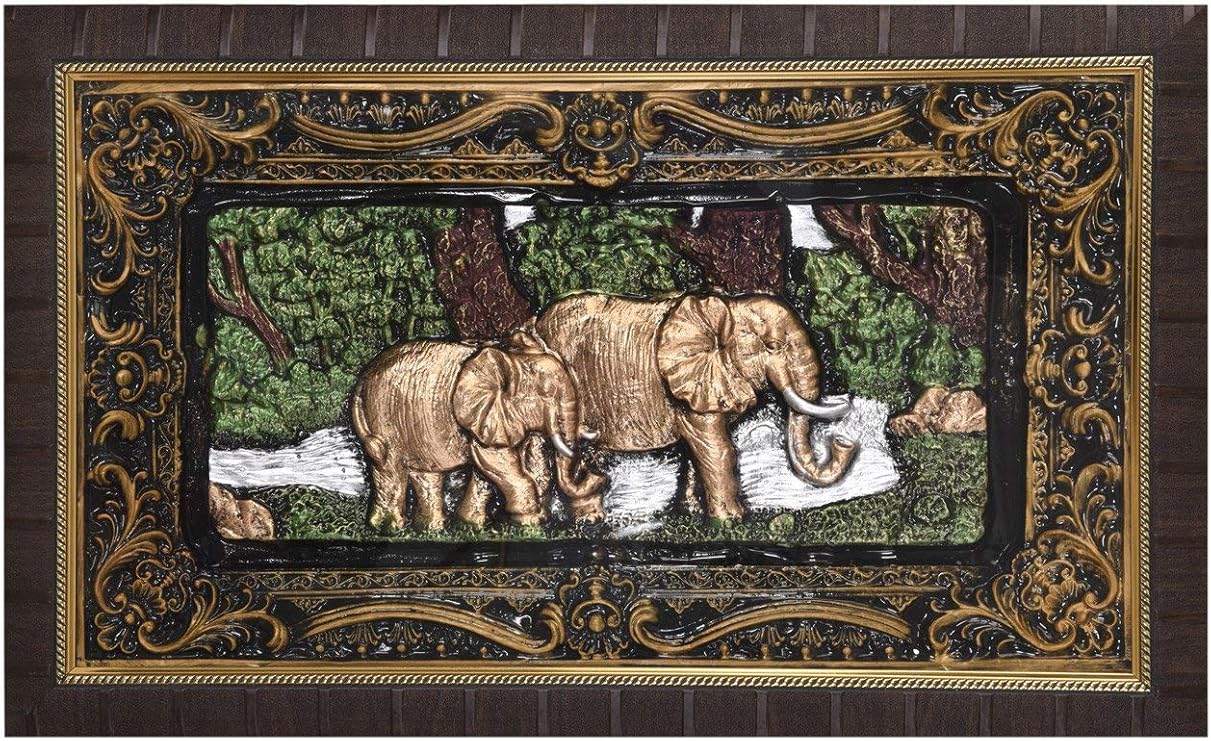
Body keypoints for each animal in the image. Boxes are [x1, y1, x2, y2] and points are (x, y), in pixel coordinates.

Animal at [350, 326, 607, 532]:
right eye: (546, 392)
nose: (598, 474)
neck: (509, 357)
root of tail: (362, 379)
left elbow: (515, 465)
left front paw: (474, 524)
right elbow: (497, 461)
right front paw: (529, 524)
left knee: (425, 473)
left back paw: (433, 528)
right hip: (382, 417)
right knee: (390, 468)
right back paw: (391, 528)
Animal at [528, 292, 858, 521]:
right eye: (773, 346)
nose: (843, 443)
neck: (727, 308)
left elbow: (696, 449)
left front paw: (693, 513)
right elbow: (717, 448)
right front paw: (731, 521)